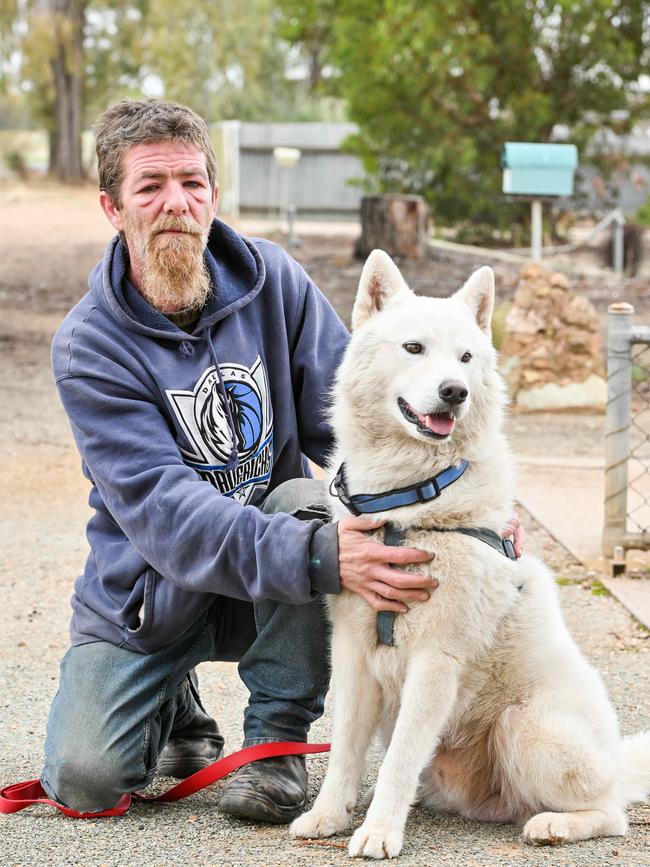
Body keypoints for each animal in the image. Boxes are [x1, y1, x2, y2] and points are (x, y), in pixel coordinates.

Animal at [290, 251, 648, 860]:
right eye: (414, 348)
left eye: (465, 357)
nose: (455, 391)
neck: (408, 506)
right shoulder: (355, 654)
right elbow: (343, 751)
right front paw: (328, 816)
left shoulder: (437, 659)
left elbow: (397, 760)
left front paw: (378, 833)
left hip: (526, 726)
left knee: (611, 813)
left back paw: (554, 824)